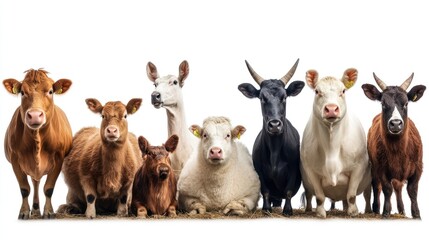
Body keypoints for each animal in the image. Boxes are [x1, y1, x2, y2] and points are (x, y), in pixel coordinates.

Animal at [2, 68, 72, 219]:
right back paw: (34, 210)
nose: (34, 115)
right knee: (35, 183)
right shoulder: (15, 160)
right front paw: (24, 212)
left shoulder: (59, 159)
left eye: (50, 91)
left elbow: (49, 188)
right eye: (22, 92)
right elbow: (24, 189)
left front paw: (49, 212)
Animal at [237, 58, 304, 216]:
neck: (275, 149)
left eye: (284, 97)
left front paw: (288, 210)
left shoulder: (293, 168)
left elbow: (288, 191)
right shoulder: (259, 170)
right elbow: (265, 190)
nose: (274, 125)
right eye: (262, 98)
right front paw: (266, 209)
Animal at [298, 67, 372, 218]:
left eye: (343, 91)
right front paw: (320, 213)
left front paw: (353, 212)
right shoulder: (310, 169)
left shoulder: (359, 166)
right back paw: (308, 209)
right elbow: (319, 197)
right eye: (317, 91)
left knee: (366, 195)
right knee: (309, 195)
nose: (331, 109)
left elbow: (351, 195)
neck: (331, 146)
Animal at [362, 72, 424, 219]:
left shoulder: (418, 167)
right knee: (377, 187)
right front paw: (385, 213)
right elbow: (386, 189)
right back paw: (376, 209)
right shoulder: (380, 168)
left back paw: (401, 211)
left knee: (398, 188)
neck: (398, 150)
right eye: (383, 104)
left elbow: (412, 191)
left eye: (406, 103)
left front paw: (416, 214)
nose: (395, 123)